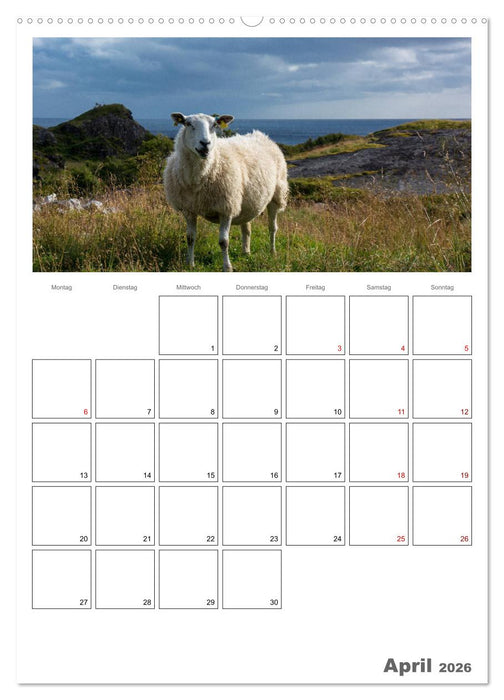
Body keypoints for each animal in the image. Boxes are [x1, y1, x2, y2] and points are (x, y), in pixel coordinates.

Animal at [163, 112, 288, 271]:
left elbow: (223, 242)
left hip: (276, 194)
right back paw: (246, 251)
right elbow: (190, 238)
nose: (205, 143)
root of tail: (261, 135)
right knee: (246, 227)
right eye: (188, 124)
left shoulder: (226, 208)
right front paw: (190, 264)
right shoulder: (189, 209)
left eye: (215, 125)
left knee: (272, 227)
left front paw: (227, 267)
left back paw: (272, 251)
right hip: (248, 201)